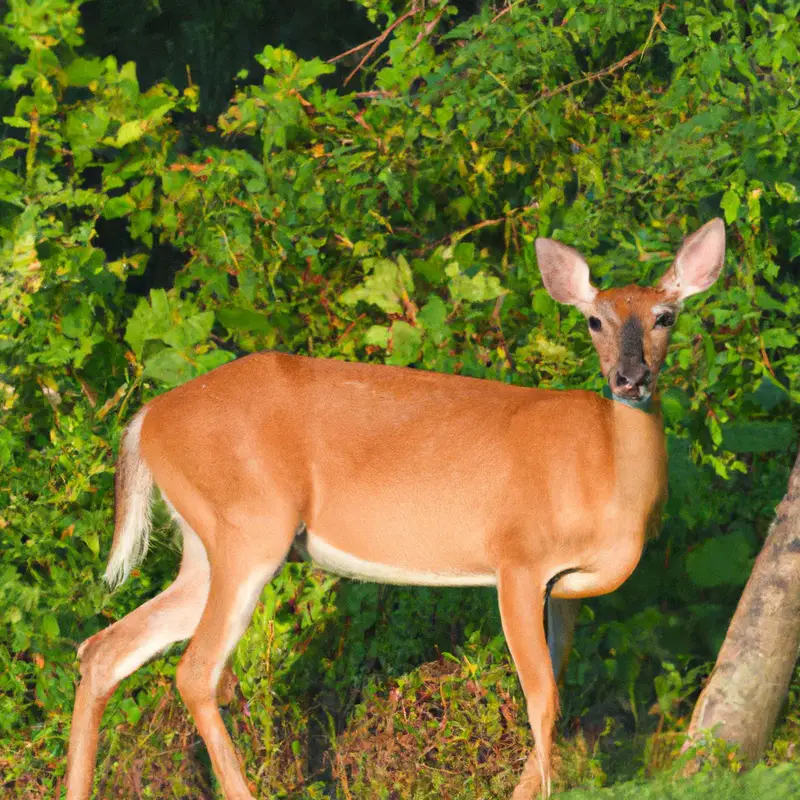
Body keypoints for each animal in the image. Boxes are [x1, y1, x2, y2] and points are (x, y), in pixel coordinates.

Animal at [64, 219, 724, 800]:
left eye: (665, 317)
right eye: (594, 320)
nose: (631, 378)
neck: (608, 478)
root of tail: (145, 420)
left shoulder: (564, 588)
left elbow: (557, 687)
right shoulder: (517, 559)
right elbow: (541, 696)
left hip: (207, 545)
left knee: (104, 649)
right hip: (250, 527)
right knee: (195, 671)